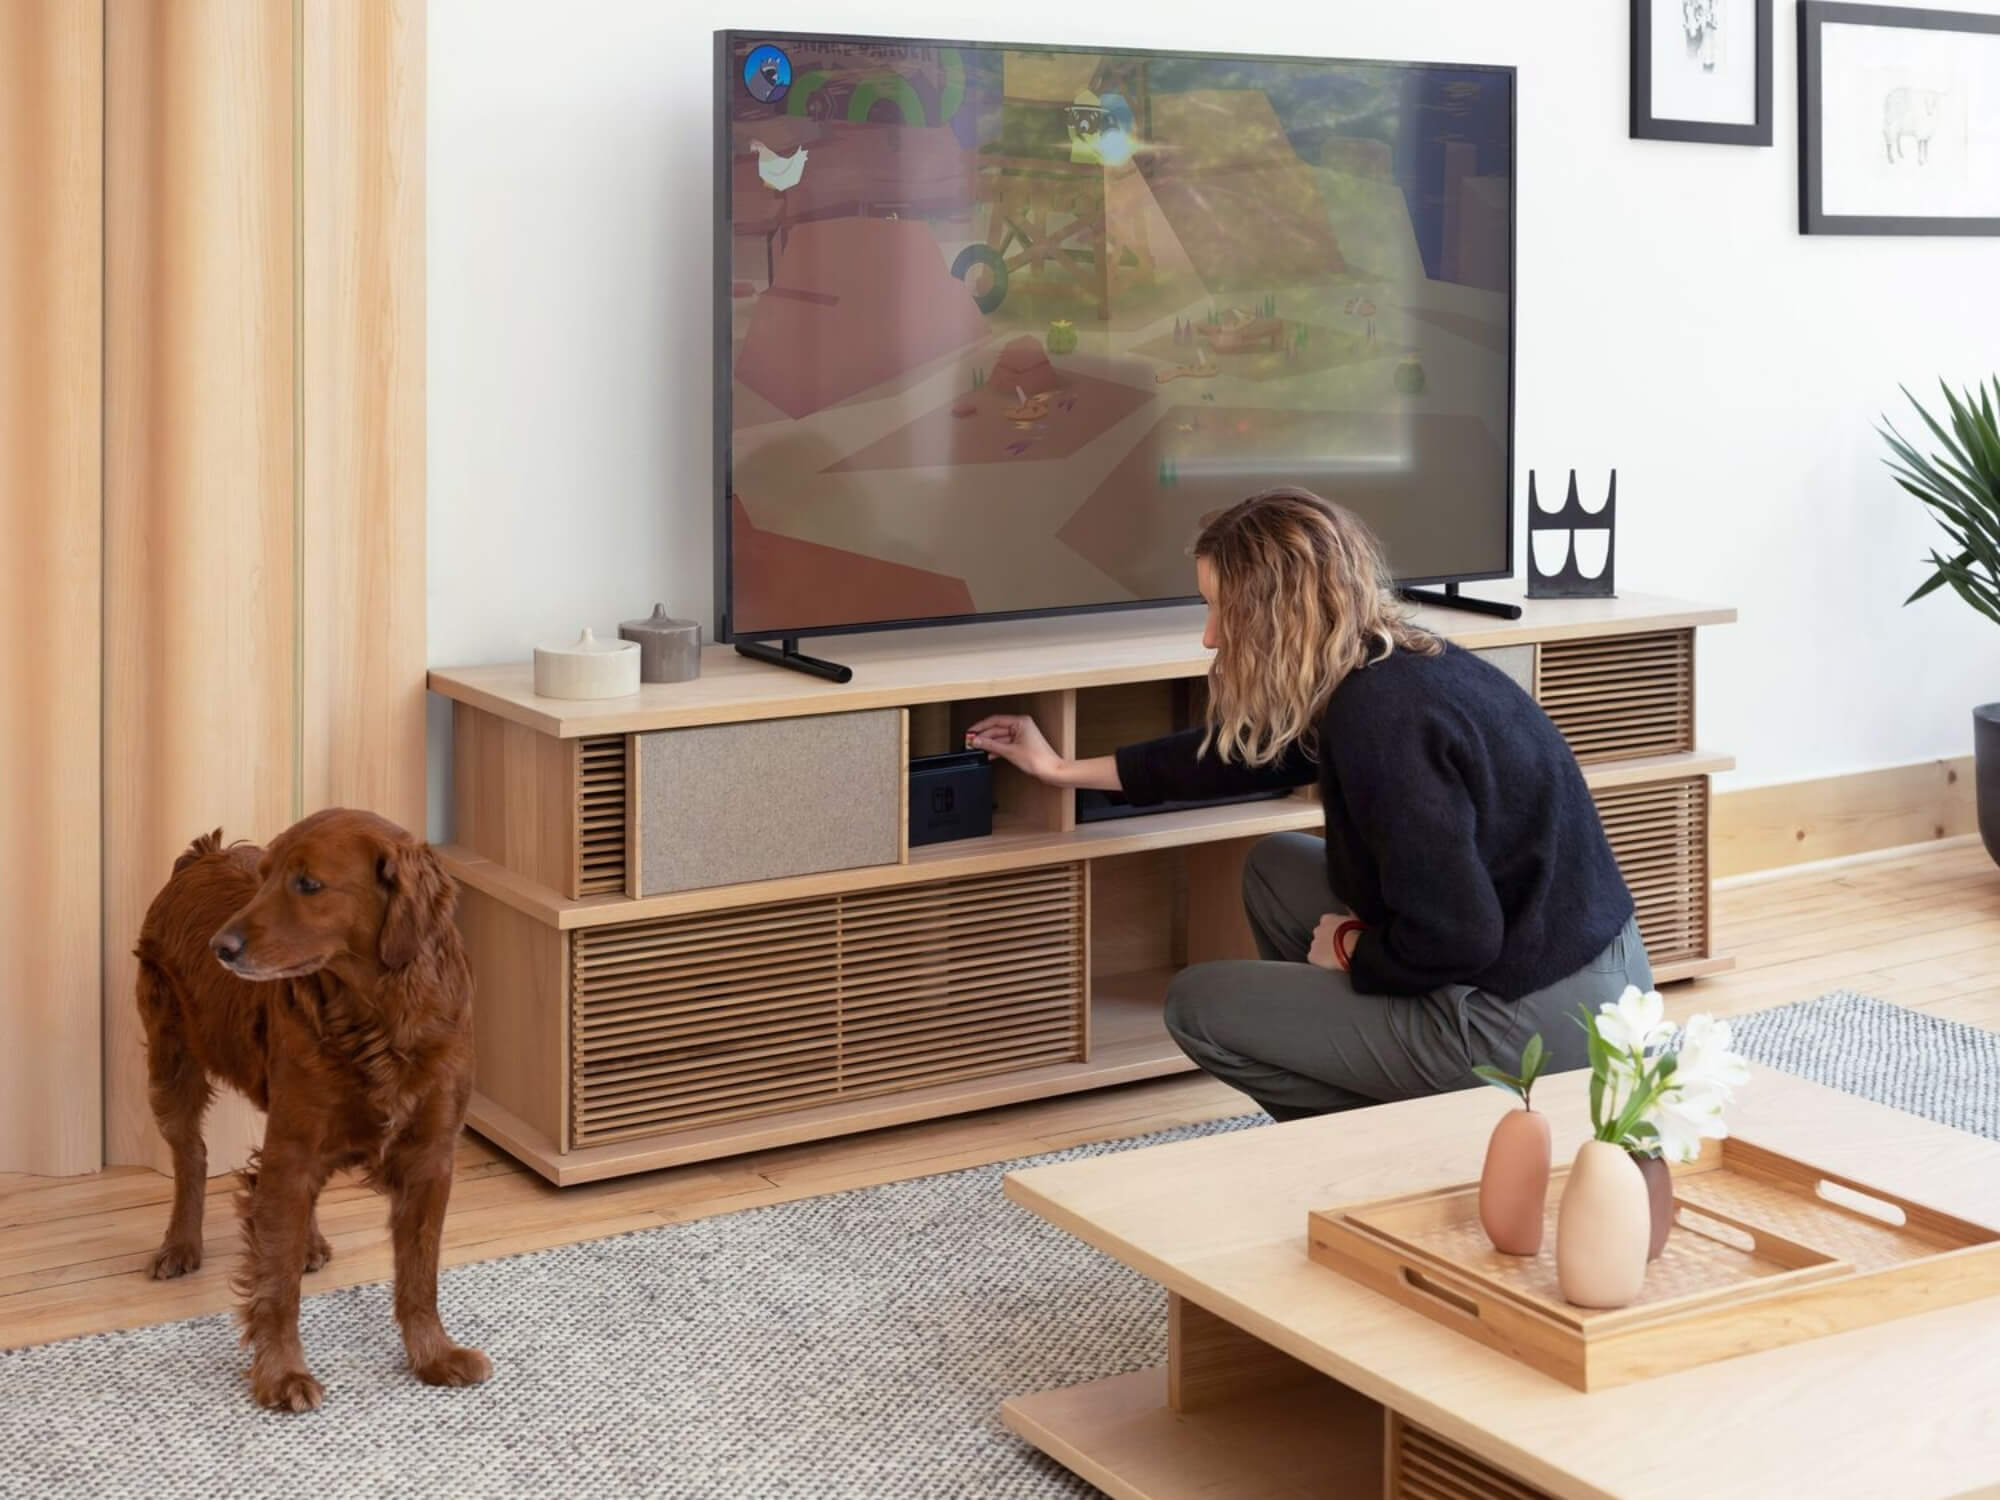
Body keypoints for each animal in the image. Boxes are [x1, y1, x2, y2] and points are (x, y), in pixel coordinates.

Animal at [135, 812, 490, 1408]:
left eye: (308, 884)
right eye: (264, 879)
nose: (220, 947)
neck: (376, 1017)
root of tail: (201, 854)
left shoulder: (430, 1155)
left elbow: (420, 1275)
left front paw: (434, 1356)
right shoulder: (295, 1144)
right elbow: (277, 1284)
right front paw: (282, 1375)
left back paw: (310, 1242)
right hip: (171, 1059)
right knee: (192, 1155)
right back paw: (181, 1244)